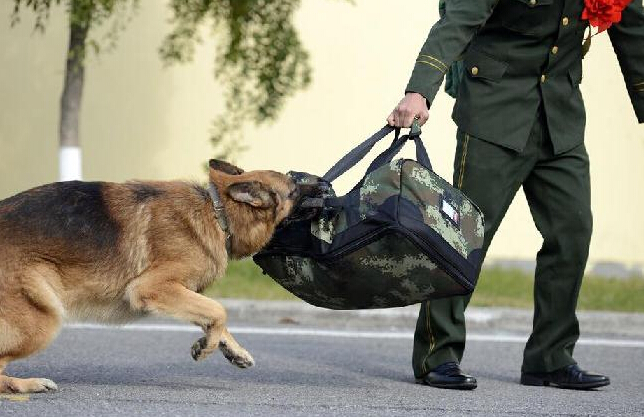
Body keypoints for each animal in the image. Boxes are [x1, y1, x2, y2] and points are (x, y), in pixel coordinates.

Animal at [0, 159, 300, 394]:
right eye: (294, 189)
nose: (311, 181)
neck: (217, 212)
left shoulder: (181, 292)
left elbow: (211, 315)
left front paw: (231, 350)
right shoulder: (151, 287)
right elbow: (219, 311)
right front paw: (207, 347)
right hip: (44, 320)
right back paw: (27, 384)